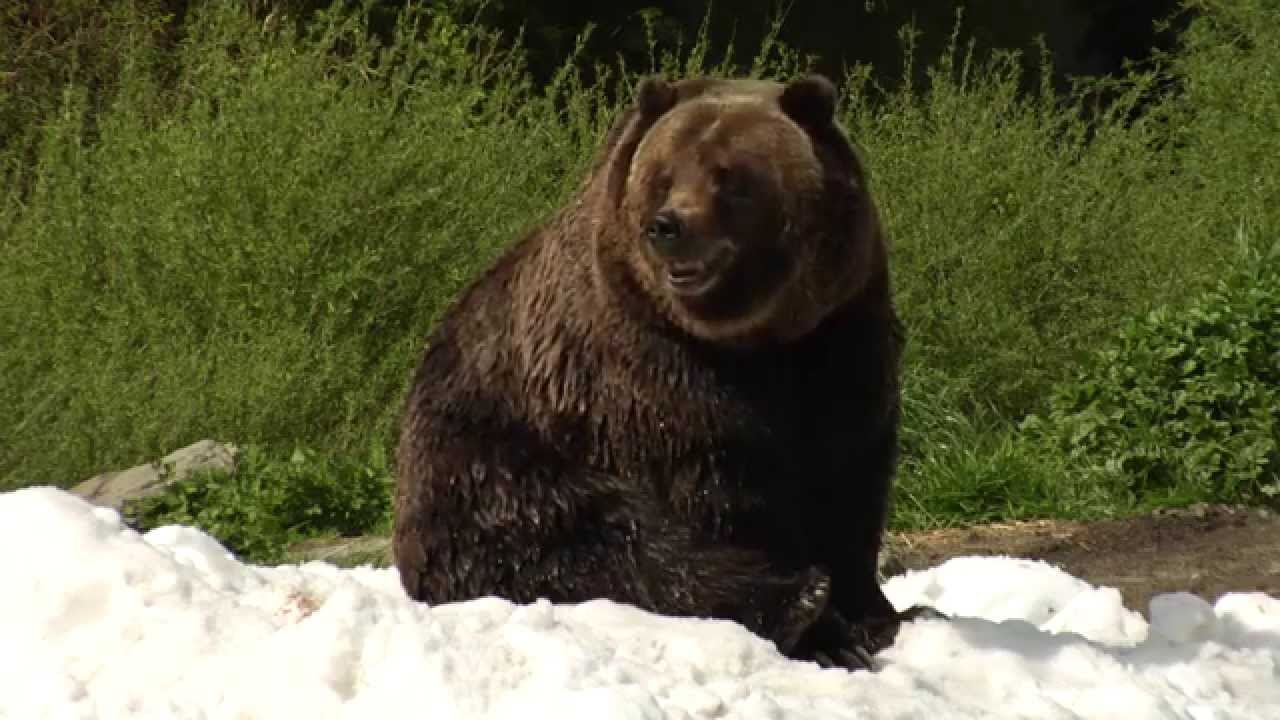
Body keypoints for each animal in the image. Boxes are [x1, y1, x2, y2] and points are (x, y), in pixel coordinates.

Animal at [392, 72, 935, 670]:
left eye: (730, 176)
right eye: (664, 176)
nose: (668, 226)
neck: (756, 342)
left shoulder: (842, 336)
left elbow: (848, 482)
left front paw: (877, 613)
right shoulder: (647, 372)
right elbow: (716, 495)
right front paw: (828, 625)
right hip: (494, 465)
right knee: (601, 543)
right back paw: (799, 599)